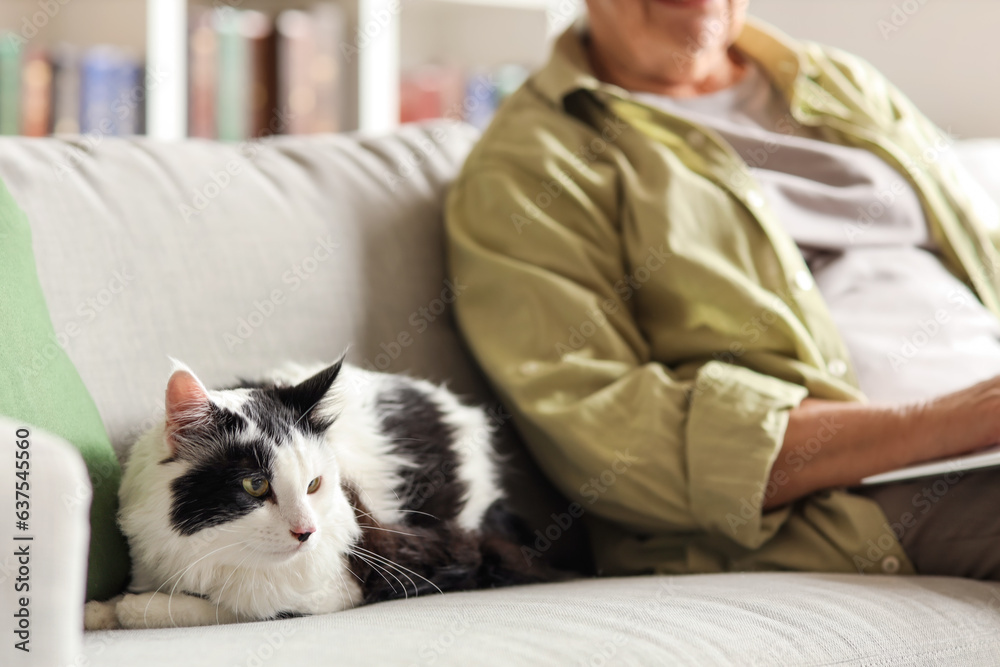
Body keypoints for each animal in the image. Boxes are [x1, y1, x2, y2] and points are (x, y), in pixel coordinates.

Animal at [91, 358, 548, 628]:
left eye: (313, 484)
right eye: (255, 485)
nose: (306, 532)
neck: (209, 552)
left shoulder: (343, 585)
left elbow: (229, 608)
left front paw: (133, 608)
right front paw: (97, 611)